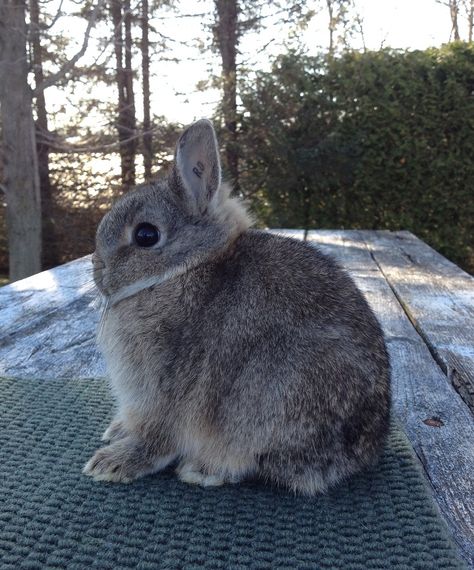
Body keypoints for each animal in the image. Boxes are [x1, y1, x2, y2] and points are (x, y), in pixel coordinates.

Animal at [83, 118, 390, 492]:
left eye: (145, 235)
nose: (98, 271)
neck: (180, 271)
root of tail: (367, 447)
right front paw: (116, 431)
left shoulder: (162, 387)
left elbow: (156, 437)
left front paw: (113, 463)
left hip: (272, 396)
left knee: (251, 460)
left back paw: (202, 470)